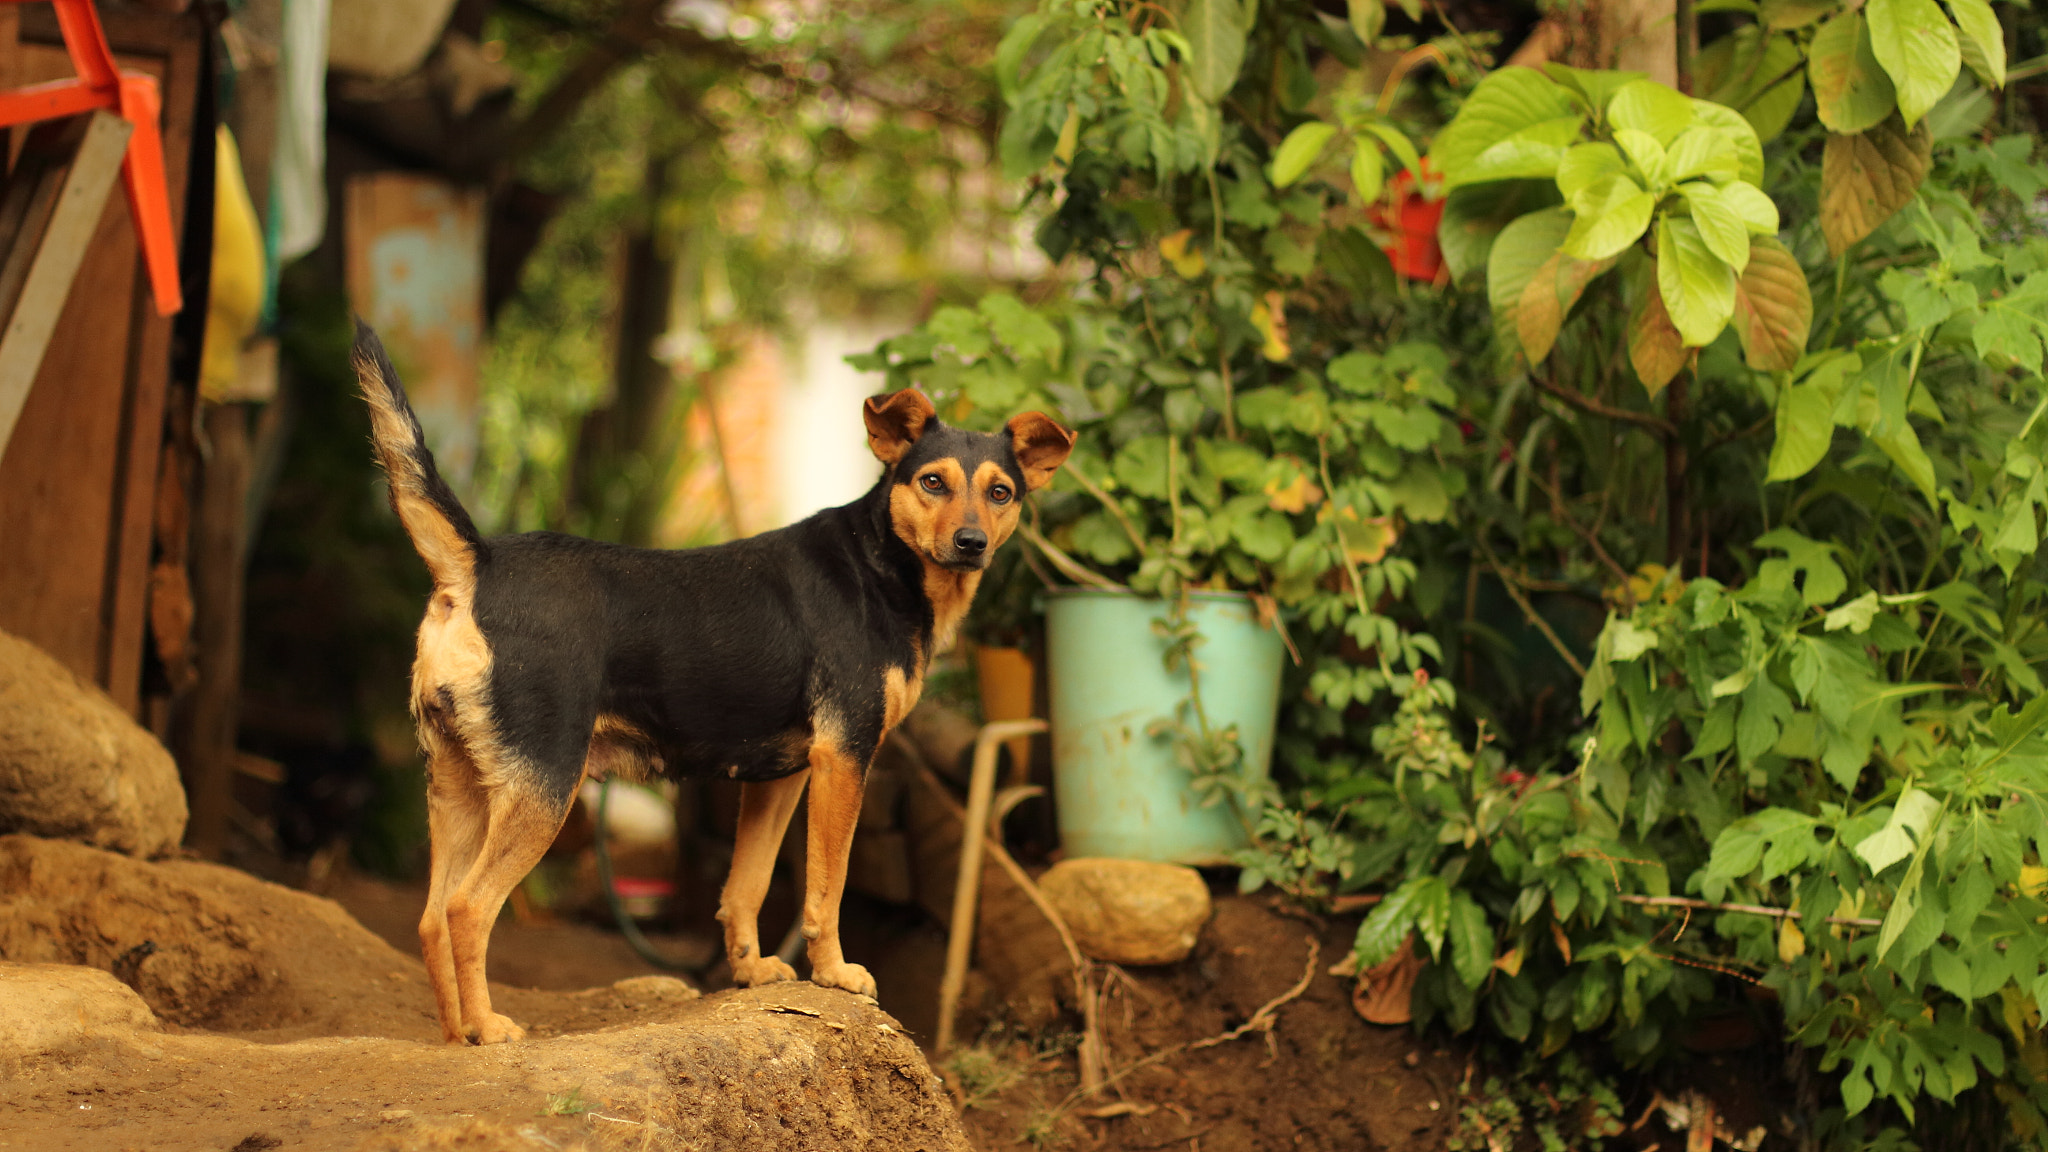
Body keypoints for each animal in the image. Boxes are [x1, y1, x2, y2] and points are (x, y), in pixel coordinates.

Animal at [356, 317, 1073, 1037]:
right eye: (931, 482)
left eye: (1001, 493)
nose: (971, 543)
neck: (880, 563)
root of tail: (478, 564)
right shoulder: (844, 758)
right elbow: (827, 885)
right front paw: (835, 973)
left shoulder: (782, 777)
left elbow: (745, 887)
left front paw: (751, 972)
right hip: (544, 785)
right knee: (468, 908)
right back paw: (489, 1030)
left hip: (457, 784)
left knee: (430, 919)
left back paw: (458, 1035)